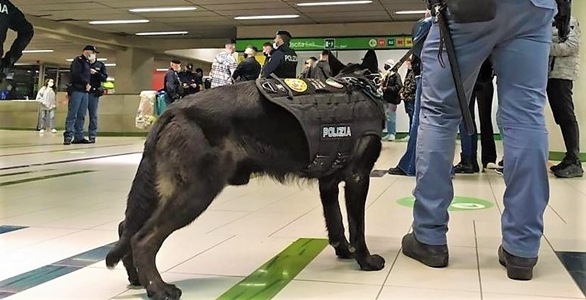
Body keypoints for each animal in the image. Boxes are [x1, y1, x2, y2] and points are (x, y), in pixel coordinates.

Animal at [106, 52, 384, 298]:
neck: (358, 83)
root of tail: (174, 110)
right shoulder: (358, 178)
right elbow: (357, 227)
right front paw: (365, 260)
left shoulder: (328, 184)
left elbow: (336, 223)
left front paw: (345, 252)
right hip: (197, 191)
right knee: (143, 238)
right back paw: (158, 288)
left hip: (161, 190)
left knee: (125, 229)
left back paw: (138, 278)